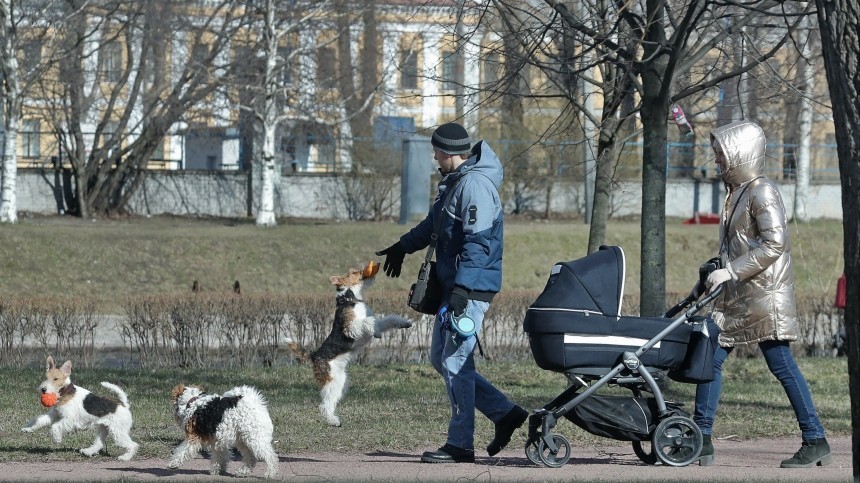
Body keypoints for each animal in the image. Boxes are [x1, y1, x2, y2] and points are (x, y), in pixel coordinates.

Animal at [286, 260, 414, 428]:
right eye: (353, 272)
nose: (365, 270)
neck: (350, 299)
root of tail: (314, 355)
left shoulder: (375, 322)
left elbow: (387, 320)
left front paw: (405, 322)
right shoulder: (351, 328)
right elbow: (369, 322)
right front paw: (376, 332)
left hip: (340, 381)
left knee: (330, 402)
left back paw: (334, 418)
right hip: (332, 381)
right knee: (324, 405)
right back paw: (333, 421)